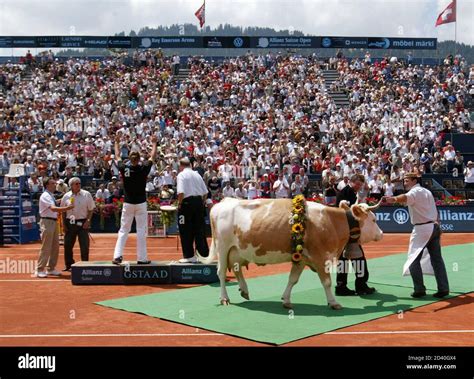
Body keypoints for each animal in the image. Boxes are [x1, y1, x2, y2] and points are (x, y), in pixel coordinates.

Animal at [198, 197, 384, 310]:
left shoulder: (301, 258)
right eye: (374, 220)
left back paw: (244, 290)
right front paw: (333, 302)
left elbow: (293, 279)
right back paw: (224, 298)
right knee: (221, 273)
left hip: (238, 250)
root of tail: (223, 201)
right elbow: (326, 282)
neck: (330, 221)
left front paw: (286, 300)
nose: (382, 234)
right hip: (223, 247)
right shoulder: (320, 257)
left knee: (237, 269)